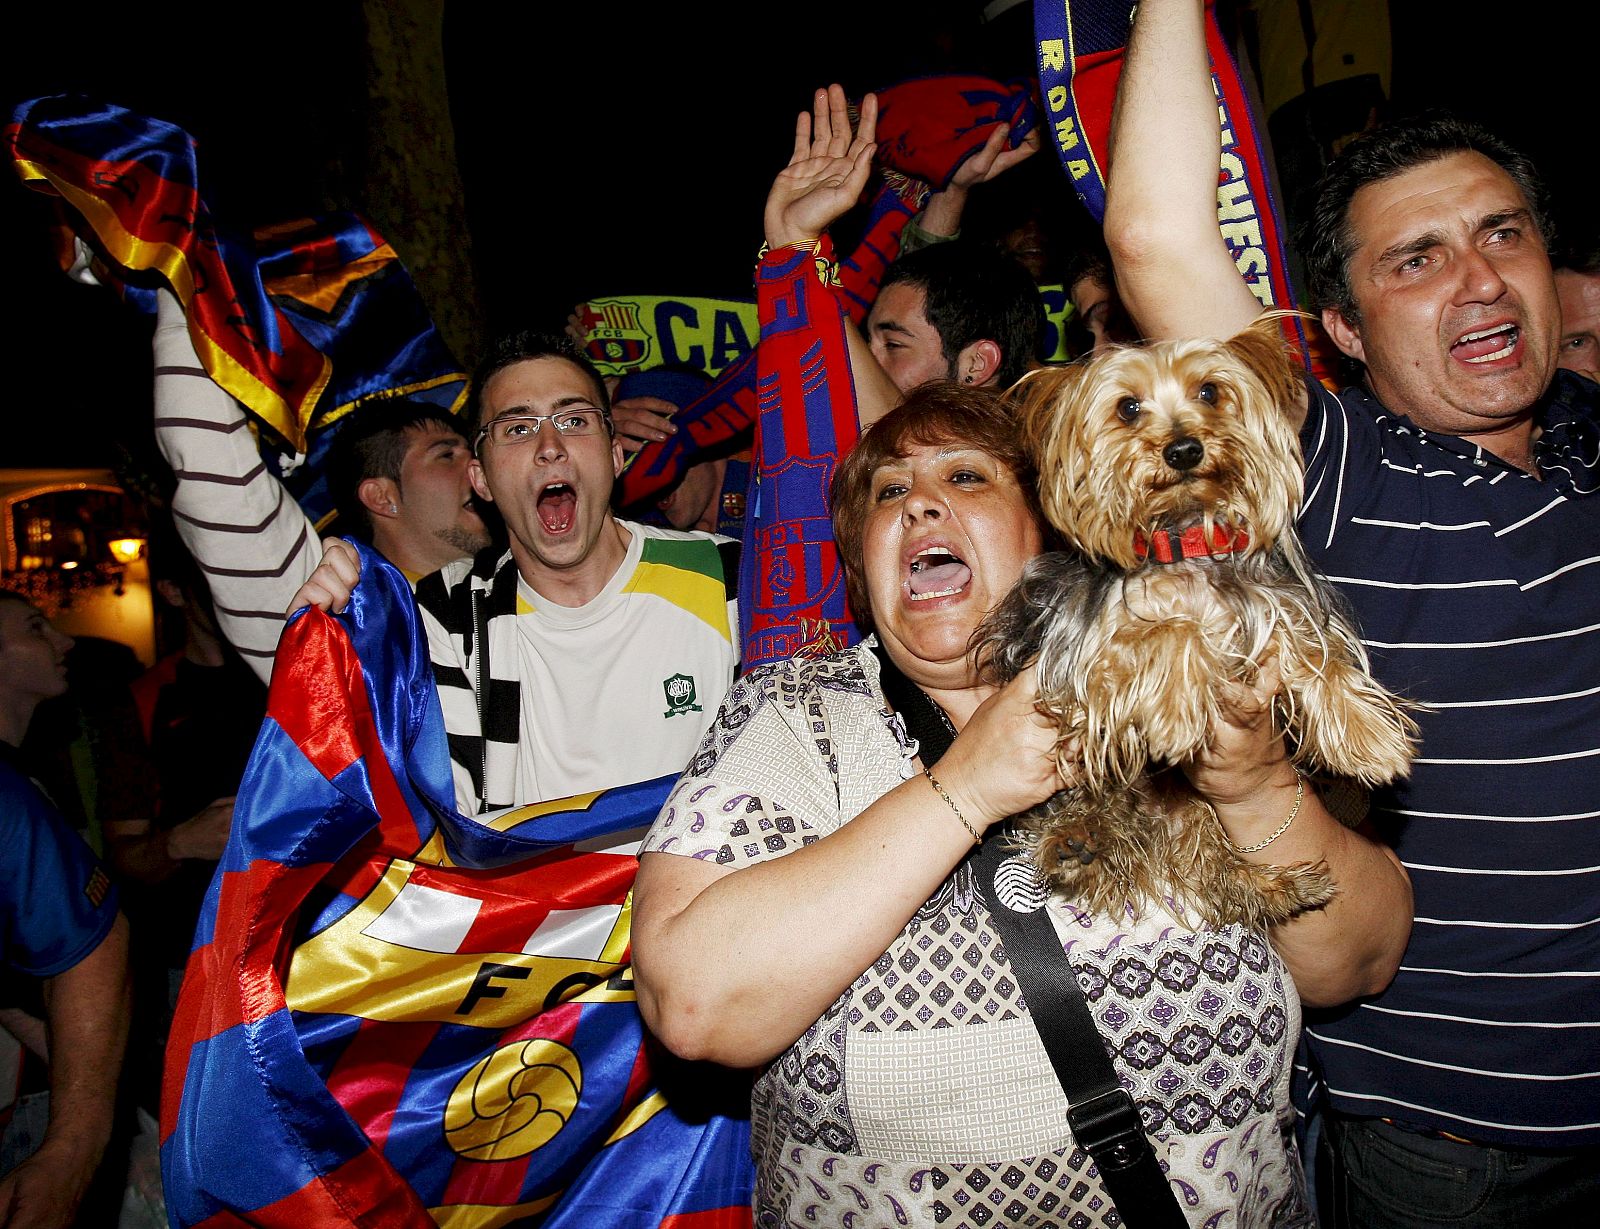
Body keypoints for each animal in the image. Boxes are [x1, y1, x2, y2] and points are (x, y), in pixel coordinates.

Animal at [972, 312, 1414, 928]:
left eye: (1210, 391)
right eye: (1128, 407)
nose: (1183, 449)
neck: (1185, 539)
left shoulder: (1271, 610)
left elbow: (1314, 654)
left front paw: (1370, 737)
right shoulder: (1081, 661)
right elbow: (1173, 630)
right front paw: (1178, 713)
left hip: (1193, 809)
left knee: (1213, 866)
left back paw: (1279, 887)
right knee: (1091, 809)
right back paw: (1078, 842)